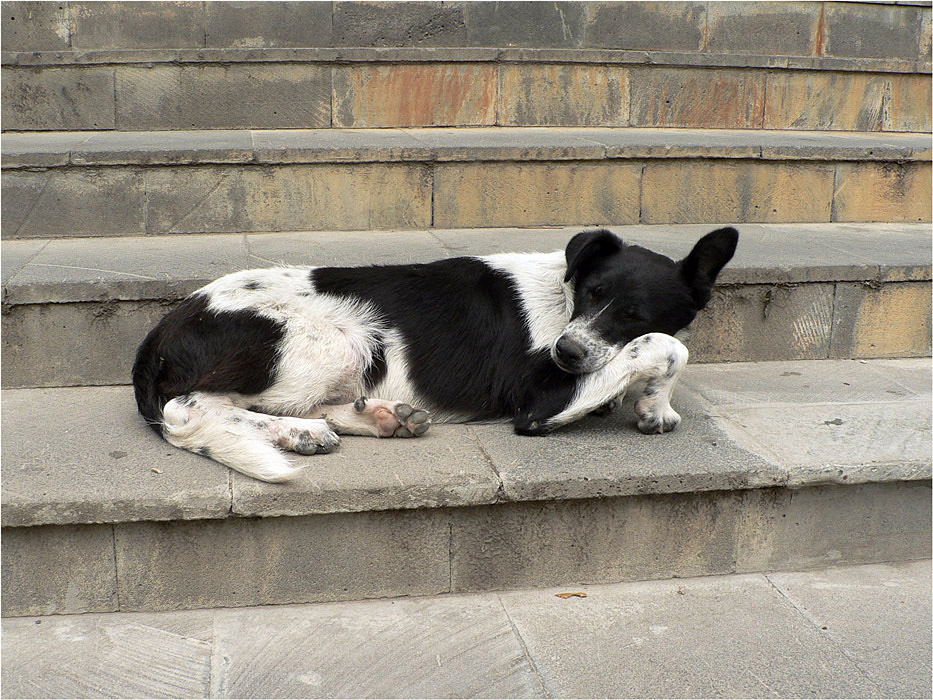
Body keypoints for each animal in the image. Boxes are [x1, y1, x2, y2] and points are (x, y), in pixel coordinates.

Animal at [135, 228, 740, 482]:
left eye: (635, 312)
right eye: (591, 293)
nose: (566, 352)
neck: (561, 296)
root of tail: (160, 330)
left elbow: (652, 350)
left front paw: (652, 405)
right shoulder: (540, 403)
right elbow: (670, 347)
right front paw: (655, 402)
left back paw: (381, 417)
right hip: (331, 340)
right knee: (190, 409)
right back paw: (298, 434)